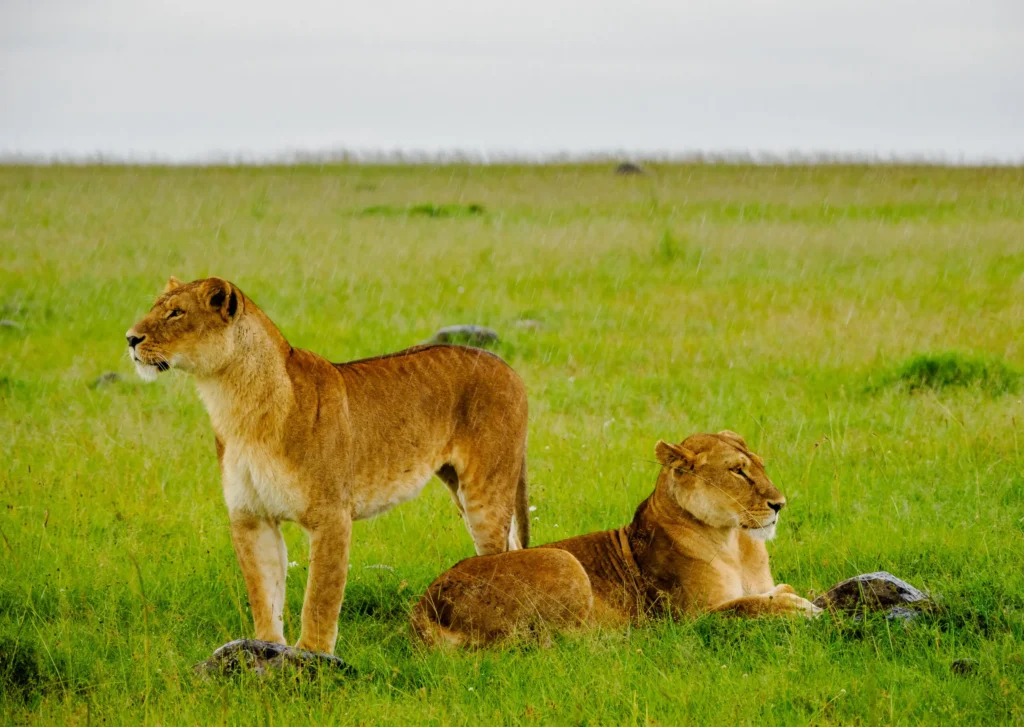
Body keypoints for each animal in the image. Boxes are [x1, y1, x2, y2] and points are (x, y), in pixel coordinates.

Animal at [126, 277, 530, 655]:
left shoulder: (331, 515)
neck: (234, 403)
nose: (130, 338)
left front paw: (311, 655)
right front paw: (265, 647)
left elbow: (320, 594)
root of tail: (506, 365)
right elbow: (263, 592)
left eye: (176, 313)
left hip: (484, 491)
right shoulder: (251, 517)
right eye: (156, 307)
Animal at [412, 431, 820, 647]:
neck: (736, 543)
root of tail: (423, 605)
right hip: (563, 562)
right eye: (738, 471)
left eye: (760, 465)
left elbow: (766, 594)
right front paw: (798, 607)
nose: (780, 504)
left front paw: (793, 597)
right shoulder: (689, 619)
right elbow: (748, 605)